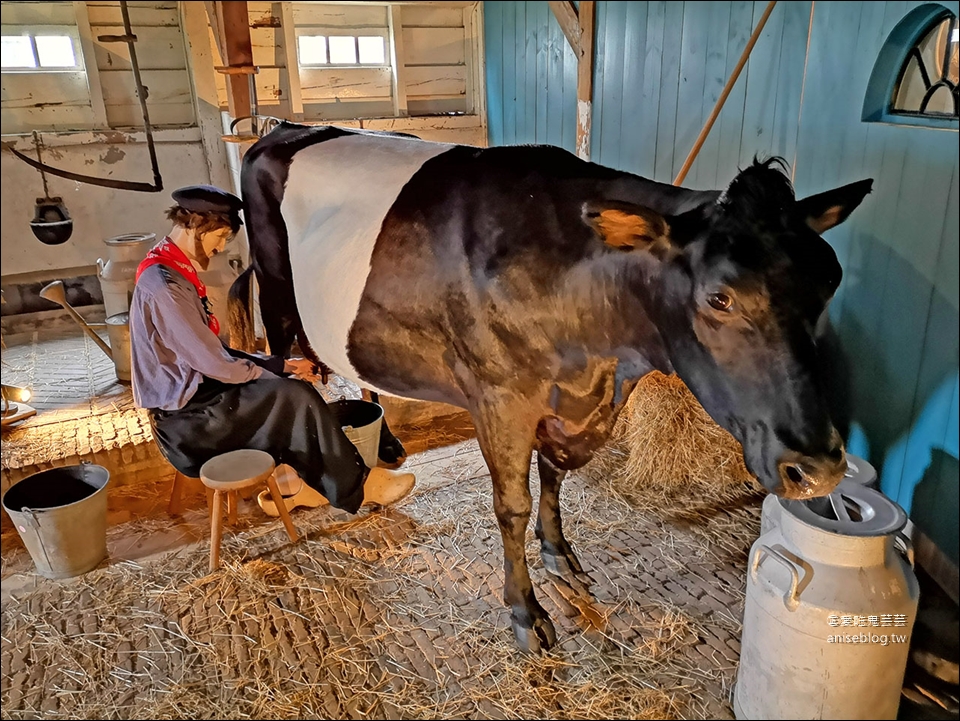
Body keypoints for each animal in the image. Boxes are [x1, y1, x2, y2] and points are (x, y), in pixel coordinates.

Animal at [231, 122, 872, 652]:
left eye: (831, 281)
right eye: (720, 297)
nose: (818, 467)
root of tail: (281, 129)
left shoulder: (576, 403)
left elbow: (556, 474)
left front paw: (560, 554)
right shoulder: (501, 398)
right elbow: (511, 505)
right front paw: (525, 611)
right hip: (277, 294)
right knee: (288, 367)